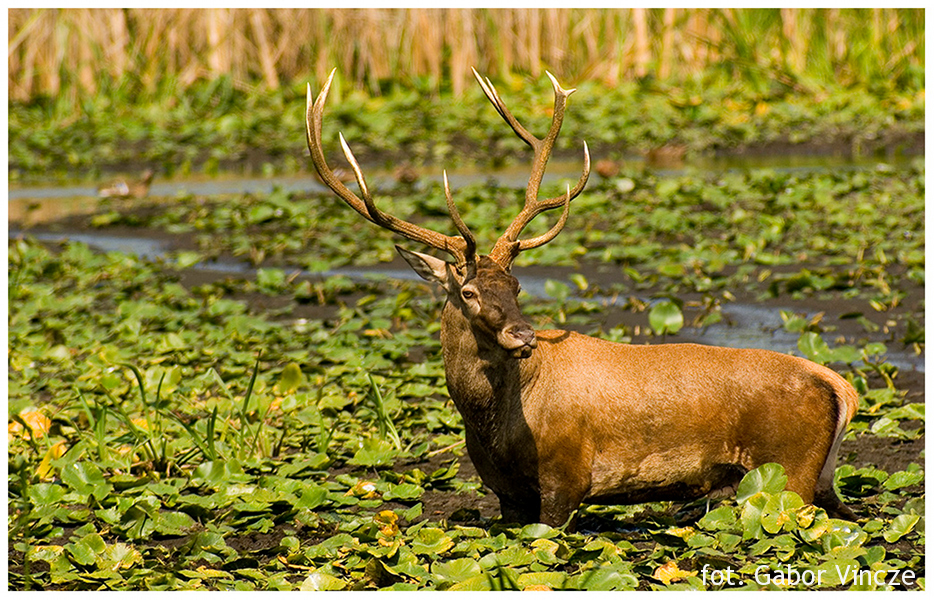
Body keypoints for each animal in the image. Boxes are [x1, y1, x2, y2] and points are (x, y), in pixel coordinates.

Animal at [305, 68, 860, 529]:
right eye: (468, 290)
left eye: (517, 286)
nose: (523, 334)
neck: (495, 427)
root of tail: (837, 384)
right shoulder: (506, 493)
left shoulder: (566, 475)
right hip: (809, 480)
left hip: (789, 473)